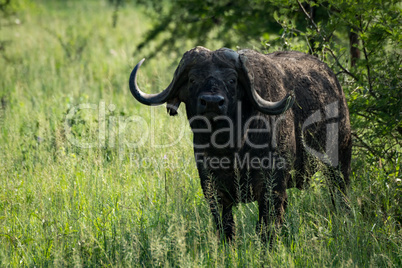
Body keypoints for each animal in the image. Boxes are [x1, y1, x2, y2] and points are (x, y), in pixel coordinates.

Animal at [129, 47, 352, 242]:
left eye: (232, 80)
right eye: (192, 79)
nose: (211, 102)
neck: (232, 148)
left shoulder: (272, 188)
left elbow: (266, 229)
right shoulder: (213, 191)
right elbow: (226, 229)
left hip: (340, 161)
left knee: (340, 194)